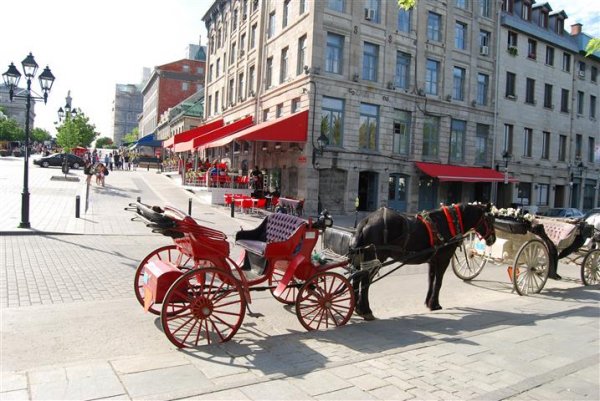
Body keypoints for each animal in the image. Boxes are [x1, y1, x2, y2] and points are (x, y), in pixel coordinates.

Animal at [350, 203, 494, 318]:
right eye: (489, 220)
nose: (493, 239)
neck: (449, 223)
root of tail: (367, 220)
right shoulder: (444, 259)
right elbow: (438, 282)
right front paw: (435, 304)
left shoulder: (433, 260)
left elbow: (431, 280)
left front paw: (428, 302)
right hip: (376, 258)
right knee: (365, 281)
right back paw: (365, 310)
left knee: (357, 279)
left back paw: (356, 307)